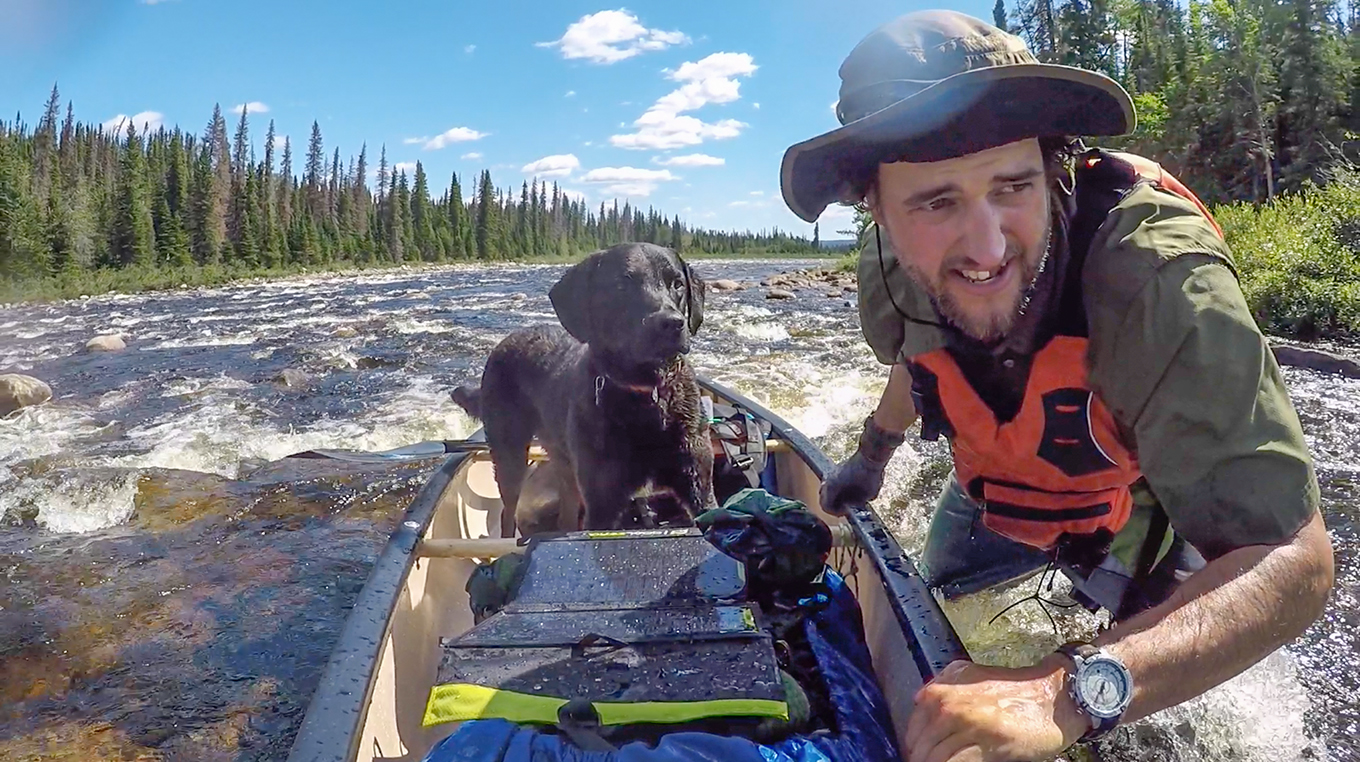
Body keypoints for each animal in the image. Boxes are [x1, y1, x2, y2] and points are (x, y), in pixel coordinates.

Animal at [451, 242, 718, 536]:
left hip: (563, 464)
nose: (671, 322)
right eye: (621, 285)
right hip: (509, 453)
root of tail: (504, 342)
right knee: (508, 510)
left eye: (678, 284)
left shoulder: (700, 487)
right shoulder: (603, 503)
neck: (646, 394)